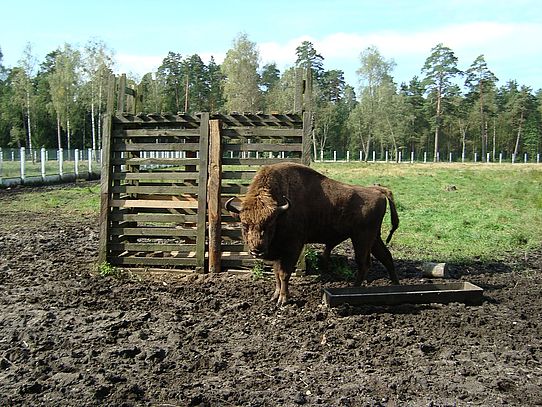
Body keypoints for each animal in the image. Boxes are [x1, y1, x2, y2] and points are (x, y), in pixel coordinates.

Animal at [225, 163, 400, 306]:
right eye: (244, 224)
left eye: (270, 224)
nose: (257, 249)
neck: (281, 211)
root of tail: (377, 190)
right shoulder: (278, 252)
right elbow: (276, 273)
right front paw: (275, 296)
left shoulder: (292, 248)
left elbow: (284, 273)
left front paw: (283, 299)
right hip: (374, 238)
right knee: (386, 257)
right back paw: (395, 285)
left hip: (362, 238)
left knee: (363, 264)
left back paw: (355, 289)